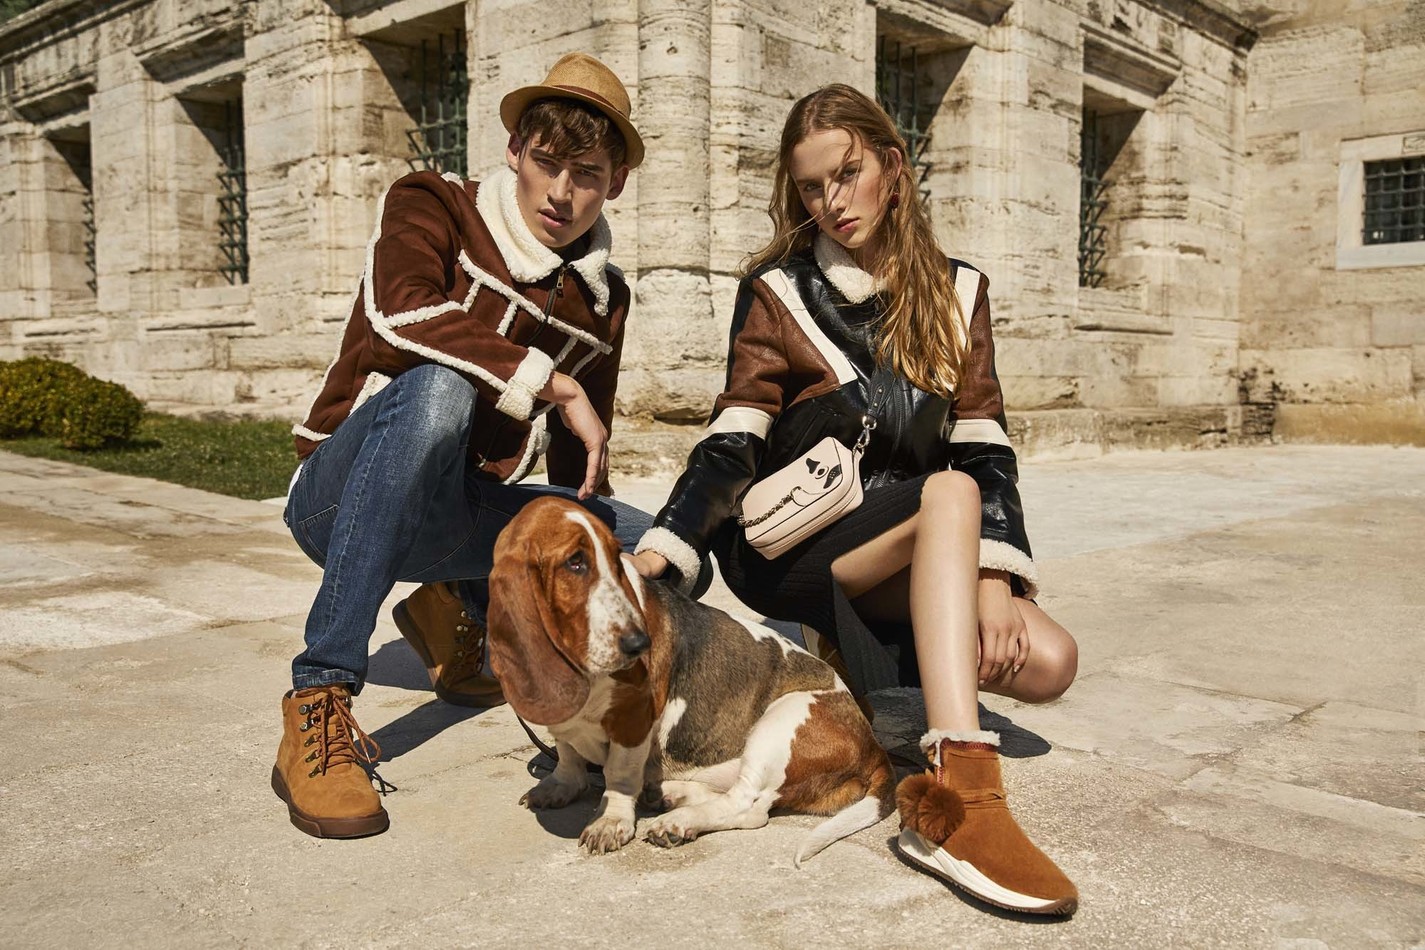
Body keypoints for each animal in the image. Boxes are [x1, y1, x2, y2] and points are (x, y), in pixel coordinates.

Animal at [486, 496, 894, 864]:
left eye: (616, 558)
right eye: (575, 562)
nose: (639, 643)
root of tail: (873, 747)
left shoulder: (632, 720)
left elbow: (619, 773)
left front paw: (610, 821)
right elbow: (568, 753)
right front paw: (561, 785)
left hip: (779, 724)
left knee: (748, 806)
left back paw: (677, 821)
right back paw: (669, 794)